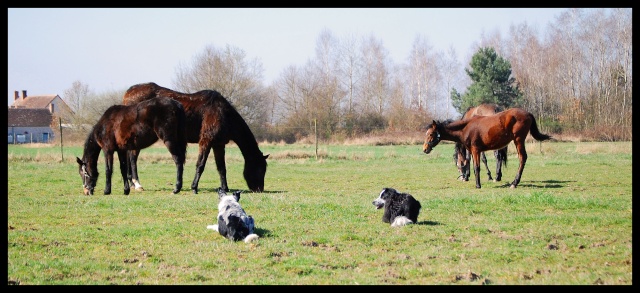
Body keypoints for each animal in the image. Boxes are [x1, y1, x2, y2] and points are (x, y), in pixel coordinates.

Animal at [122, 81, 268, 194]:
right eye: (260, 168)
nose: (259, 189)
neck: (223, 113)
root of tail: (129, 93)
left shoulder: (219, 144)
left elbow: (222, 168)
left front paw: (225, 188)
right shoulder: (206, 141)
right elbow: (200, 165)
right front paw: (194, 187)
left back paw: (132, 184)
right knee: (133, 158)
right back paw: (137, 184)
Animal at [422, 106, 552, 187]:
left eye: (431, 134)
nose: (425, 149)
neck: (466, 127)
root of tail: (528, 113)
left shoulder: (476, 150)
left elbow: (476, 166)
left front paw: (477, 184)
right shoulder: (474, 150)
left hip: (518, 140)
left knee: (522, 158)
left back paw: (514, 183)